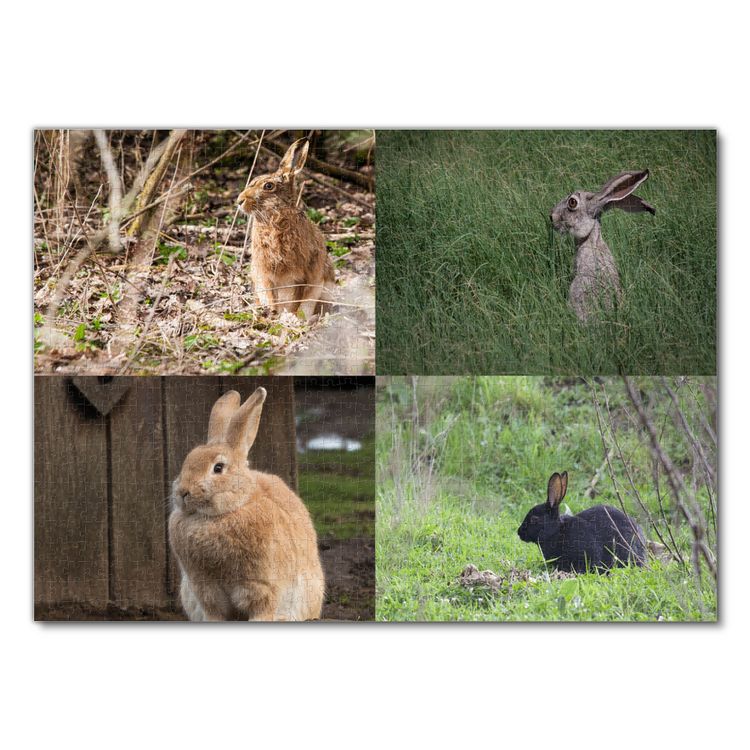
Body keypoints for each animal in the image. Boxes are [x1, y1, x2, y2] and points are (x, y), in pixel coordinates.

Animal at [168, 387, 325, 621]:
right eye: (188, 461)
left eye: (218, 468)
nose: (183, 492)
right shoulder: (205, 588)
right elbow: (214, 613)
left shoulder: (261, 586)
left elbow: (262, 610)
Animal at [237, 138, 335, 319]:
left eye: (268, 186)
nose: (239, 200)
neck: (274, 220)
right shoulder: (266, 275)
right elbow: (272, 297)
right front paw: (275, 315)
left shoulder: (300, 276)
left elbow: (295, 302)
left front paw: (289, 318)